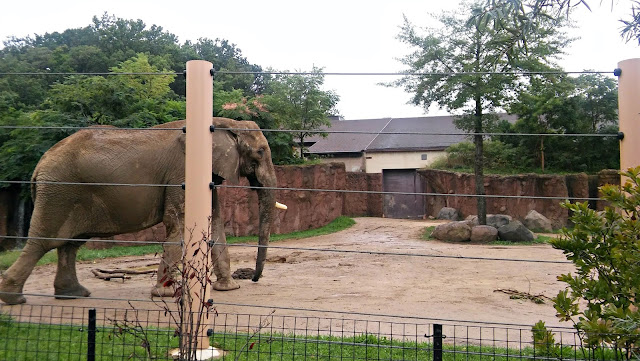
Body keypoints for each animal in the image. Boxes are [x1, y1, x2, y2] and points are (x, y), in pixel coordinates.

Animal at [0, 116, 276, 302]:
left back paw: (74, 295)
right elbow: (178, 223)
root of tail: (39, 165)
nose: (253, 277)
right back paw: (14, 298)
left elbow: (215, 224)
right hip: (60, 191)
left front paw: (229, 289)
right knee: (44, 242)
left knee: (69, 244)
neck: (223, 122)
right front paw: (164, 293)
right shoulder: (181, 173)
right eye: (261, 152)